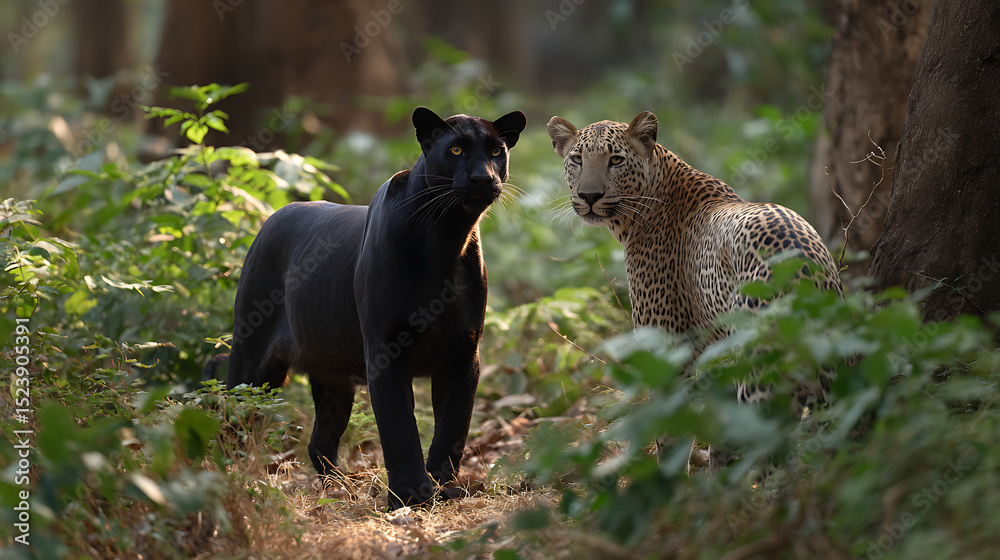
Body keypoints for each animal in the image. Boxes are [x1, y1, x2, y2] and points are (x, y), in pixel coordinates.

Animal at [547, 111, 842, 403]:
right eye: (577, 159)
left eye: (616, 160)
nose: (589, 195)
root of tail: (801, 267)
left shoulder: (666, 345)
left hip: (757, 363)